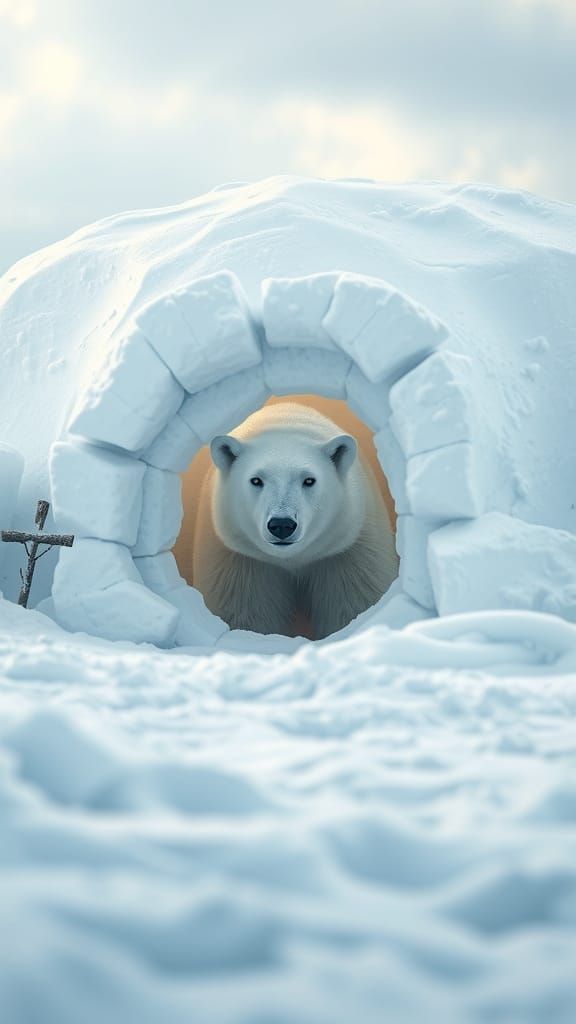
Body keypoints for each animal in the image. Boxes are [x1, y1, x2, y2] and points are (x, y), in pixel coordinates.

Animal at [192, 402, 398, 640]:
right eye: (256, 480)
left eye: (309, 480)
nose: (282, 525)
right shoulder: (240, 559)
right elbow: (246, 612)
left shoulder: (349, 550)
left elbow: (353, 603)